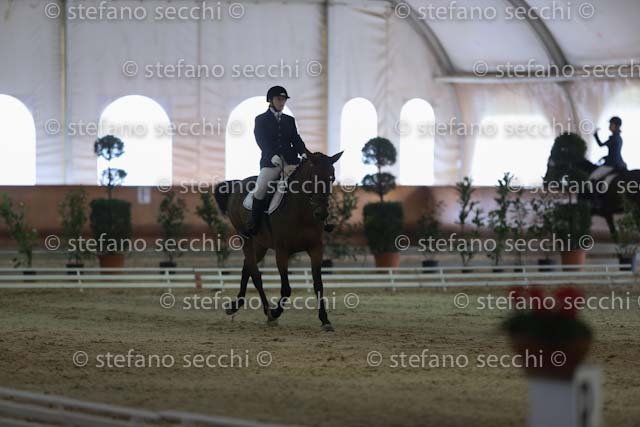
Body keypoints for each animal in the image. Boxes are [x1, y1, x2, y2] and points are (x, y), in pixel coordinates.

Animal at [213, 148, 343, 332]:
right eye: (313, 177)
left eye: (331, 178)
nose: (322, 213)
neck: (302, 212)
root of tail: (239, 184)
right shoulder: (282, 251)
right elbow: (286, 289)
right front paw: (275, 312)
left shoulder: (316, 249)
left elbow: (318, 285)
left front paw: (325, 320)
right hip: (245, 238)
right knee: (255, 274)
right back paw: (268, 313)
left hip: (260, 244)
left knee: (247, 268)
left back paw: (235, 306)